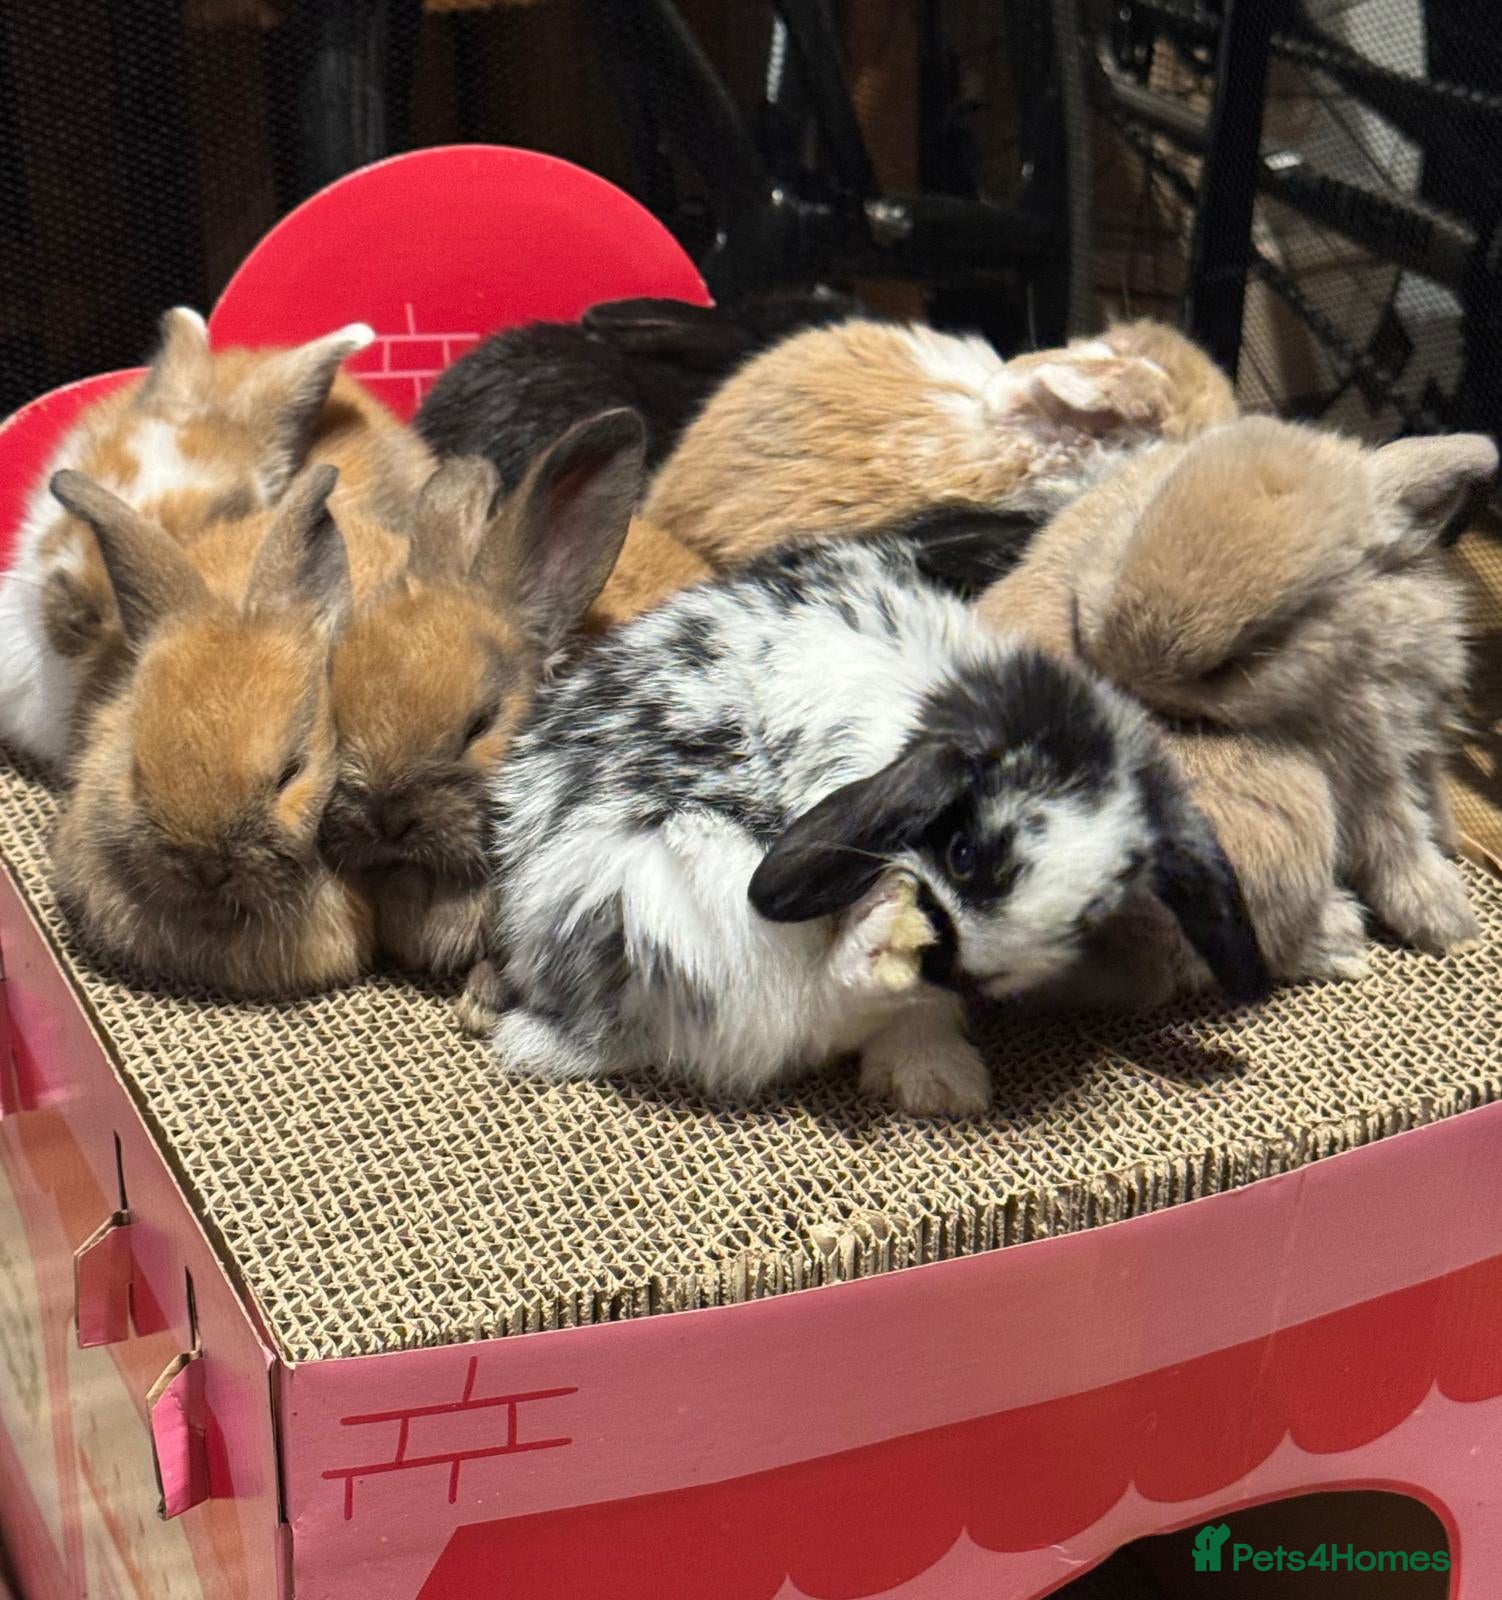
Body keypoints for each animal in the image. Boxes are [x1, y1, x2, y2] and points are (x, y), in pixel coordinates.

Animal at [470, 535, 1269, 1116]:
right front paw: (939, 1075)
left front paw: (934, 1077)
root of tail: (575, 1014)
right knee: (787, 1023)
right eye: (963, 849)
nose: (966, 967)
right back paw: (883, 962)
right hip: (672, 885)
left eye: (1093, 915)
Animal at [975, 414, 1498, 1004]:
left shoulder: (1415, 742)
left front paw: (1450, 859)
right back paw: (1342, 942)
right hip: (1290, 815)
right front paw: (1453, 926)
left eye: (1238, 659)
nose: (1121, 680)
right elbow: (1395, 842)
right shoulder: (1365, 765)